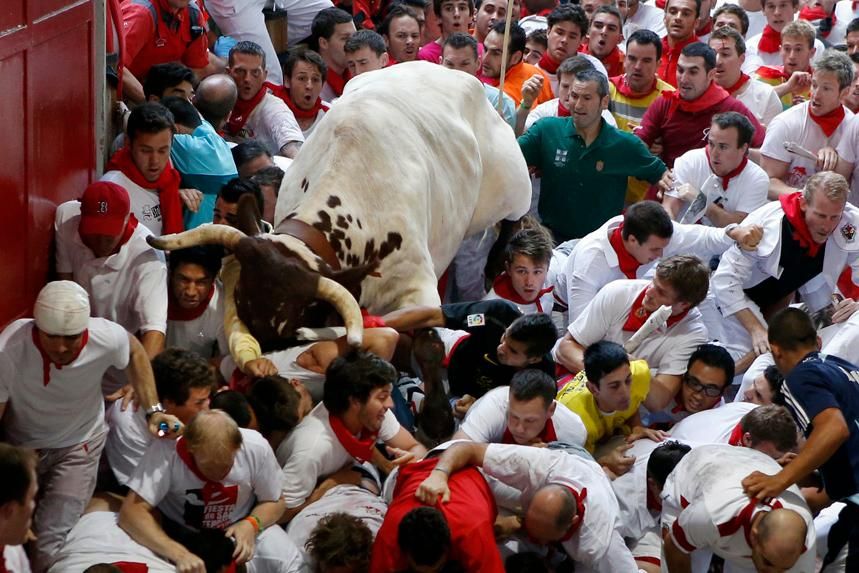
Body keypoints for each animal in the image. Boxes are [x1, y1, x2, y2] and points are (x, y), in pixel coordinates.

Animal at [151, 62, 536, 358]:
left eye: (286, 327)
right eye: (244, 308)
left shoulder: (420, 288)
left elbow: (428, 340)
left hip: (512, 179)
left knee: (513, 217)